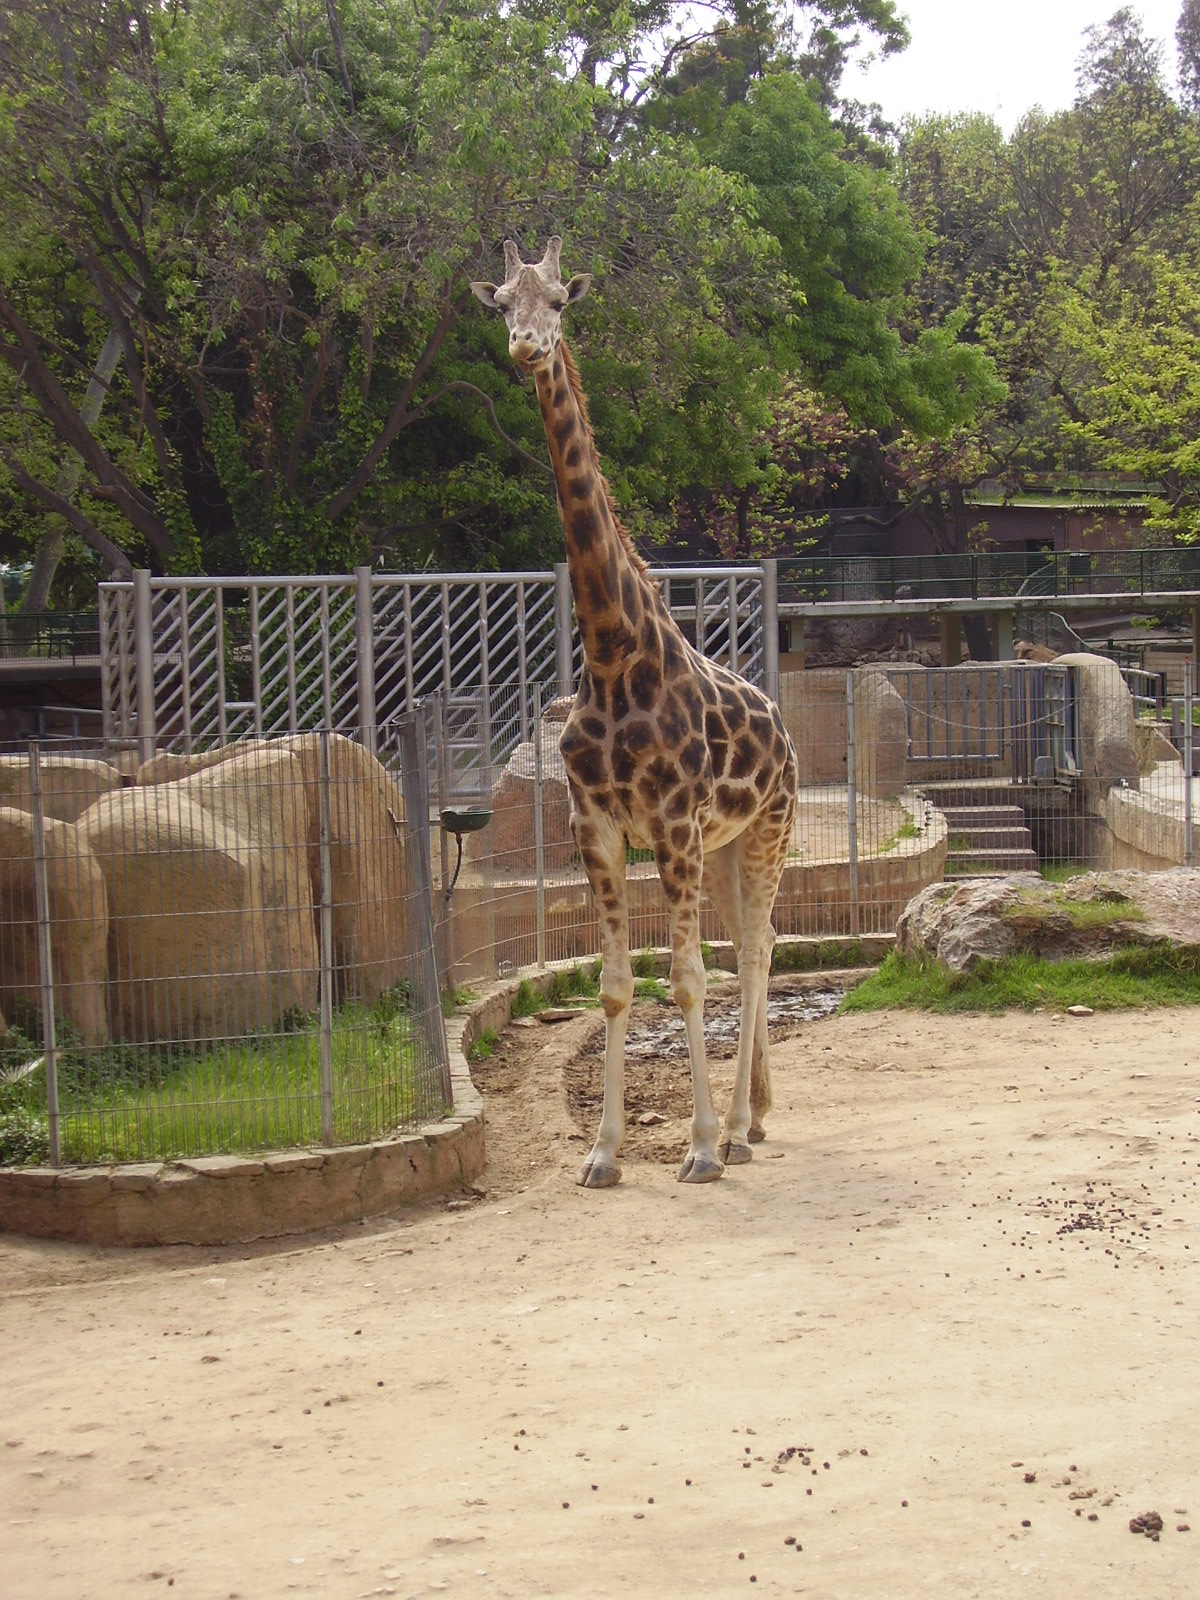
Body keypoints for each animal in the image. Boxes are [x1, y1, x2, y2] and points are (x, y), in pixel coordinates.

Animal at [472, 238, 799, 1187]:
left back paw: (738, 1130)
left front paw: (698, 1147)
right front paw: (604, 1152)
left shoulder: (676, 824)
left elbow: (686, 979)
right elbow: (620, 987)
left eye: (559, 302)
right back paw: (754, 1118)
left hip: (768, 831)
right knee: (753, 946)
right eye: (500, 303)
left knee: (756, 952)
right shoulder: (601, 826)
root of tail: (787, 730)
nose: (527, 347)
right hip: (726, 849)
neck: (617, 656)